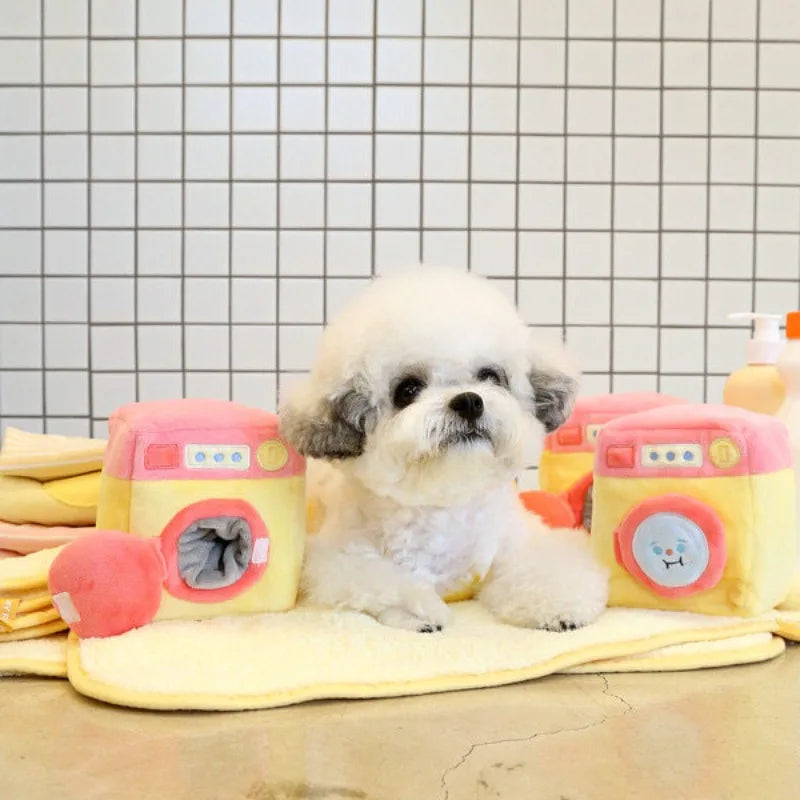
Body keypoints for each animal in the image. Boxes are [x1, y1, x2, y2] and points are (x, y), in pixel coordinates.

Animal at [280, 268, 608, 632]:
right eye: (407, 389)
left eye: (491, 376)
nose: (468, 401)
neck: (444, 509)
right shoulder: (338, 559)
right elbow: (378, 580)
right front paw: (419, 610)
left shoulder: (519, 541)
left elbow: (545, 568)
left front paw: (560, 607)